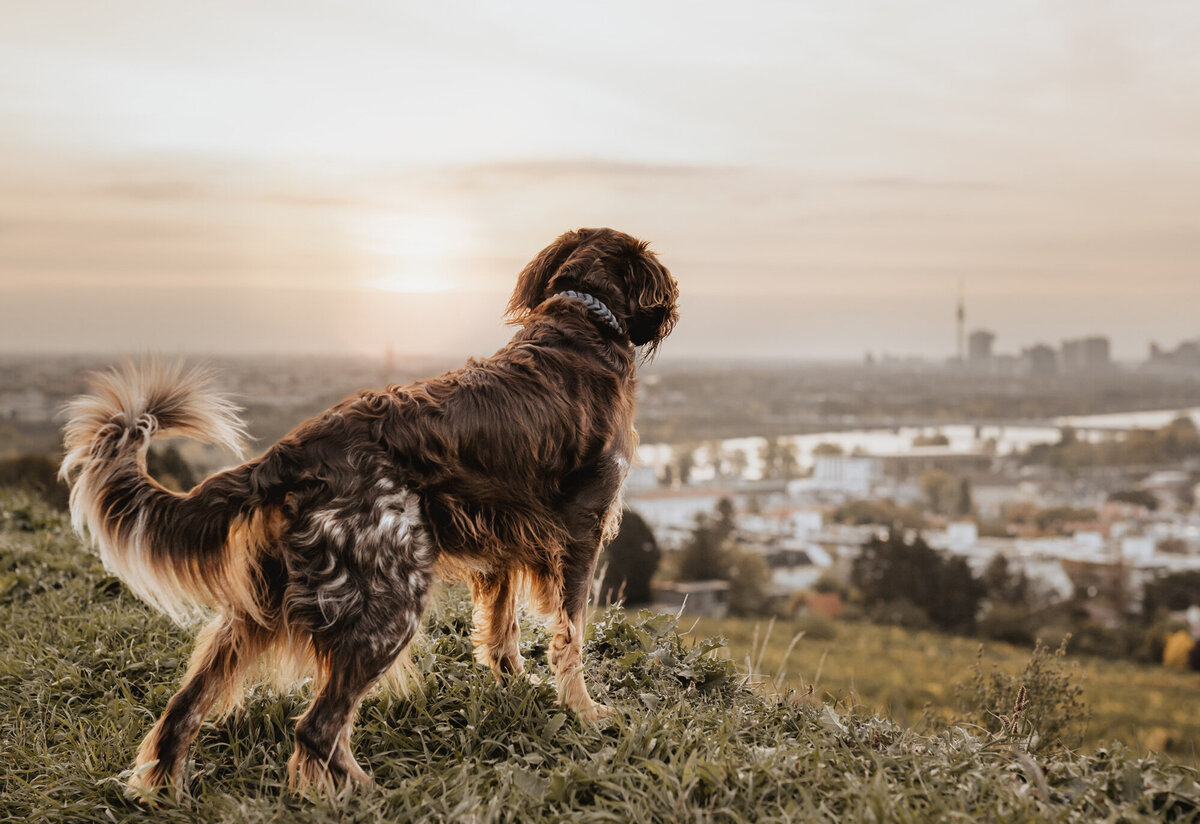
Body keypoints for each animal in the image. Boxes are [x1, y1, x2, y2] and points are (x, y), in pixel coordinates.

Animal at [58, 229, 676, 796]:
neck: (581, 322)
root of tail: (289, 453)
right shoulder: (581, 534)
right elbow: (570, 637)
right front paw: (585, 713)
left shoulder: (503, 541)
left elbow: (503, 635)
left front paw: (517, 690)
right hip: (390, 601)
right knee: (315, 727)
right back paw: (373, 794)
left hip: (256, 613)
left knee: (184, 711)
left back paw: (165, 790)